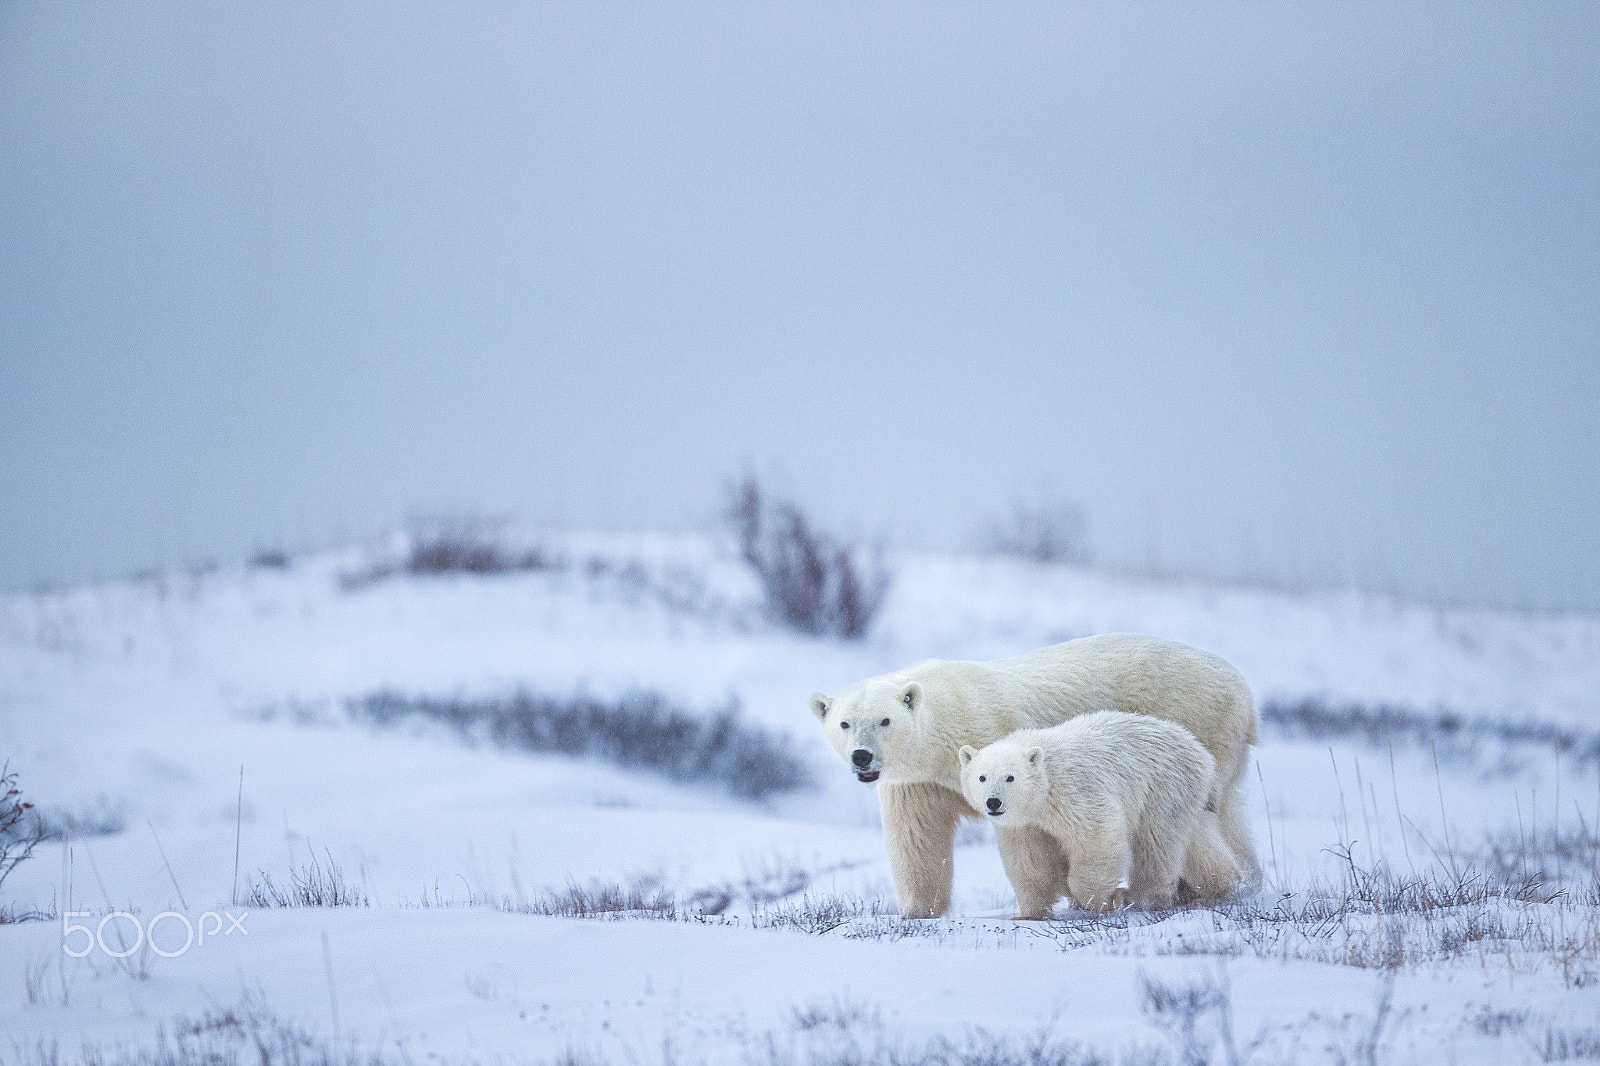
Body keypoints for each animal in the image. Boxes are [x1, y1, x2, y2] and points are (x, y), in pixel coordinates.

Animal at [959, 711, 1229, 914]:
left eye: (1010, 777)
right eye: (982, 777)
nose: (993, 802)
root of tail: (1202, 753)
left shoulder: (1073, 792)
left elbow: (1096, 837)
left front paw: (1097, 900)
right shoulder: (1024, 824)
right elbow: (1030, 859)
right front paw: (1031, 912)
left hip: (1162, 787)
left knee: (1154, 846)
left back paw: (1140, 897)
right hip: (1184, 795)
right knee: (1198, 844)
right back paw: (1222, 884)